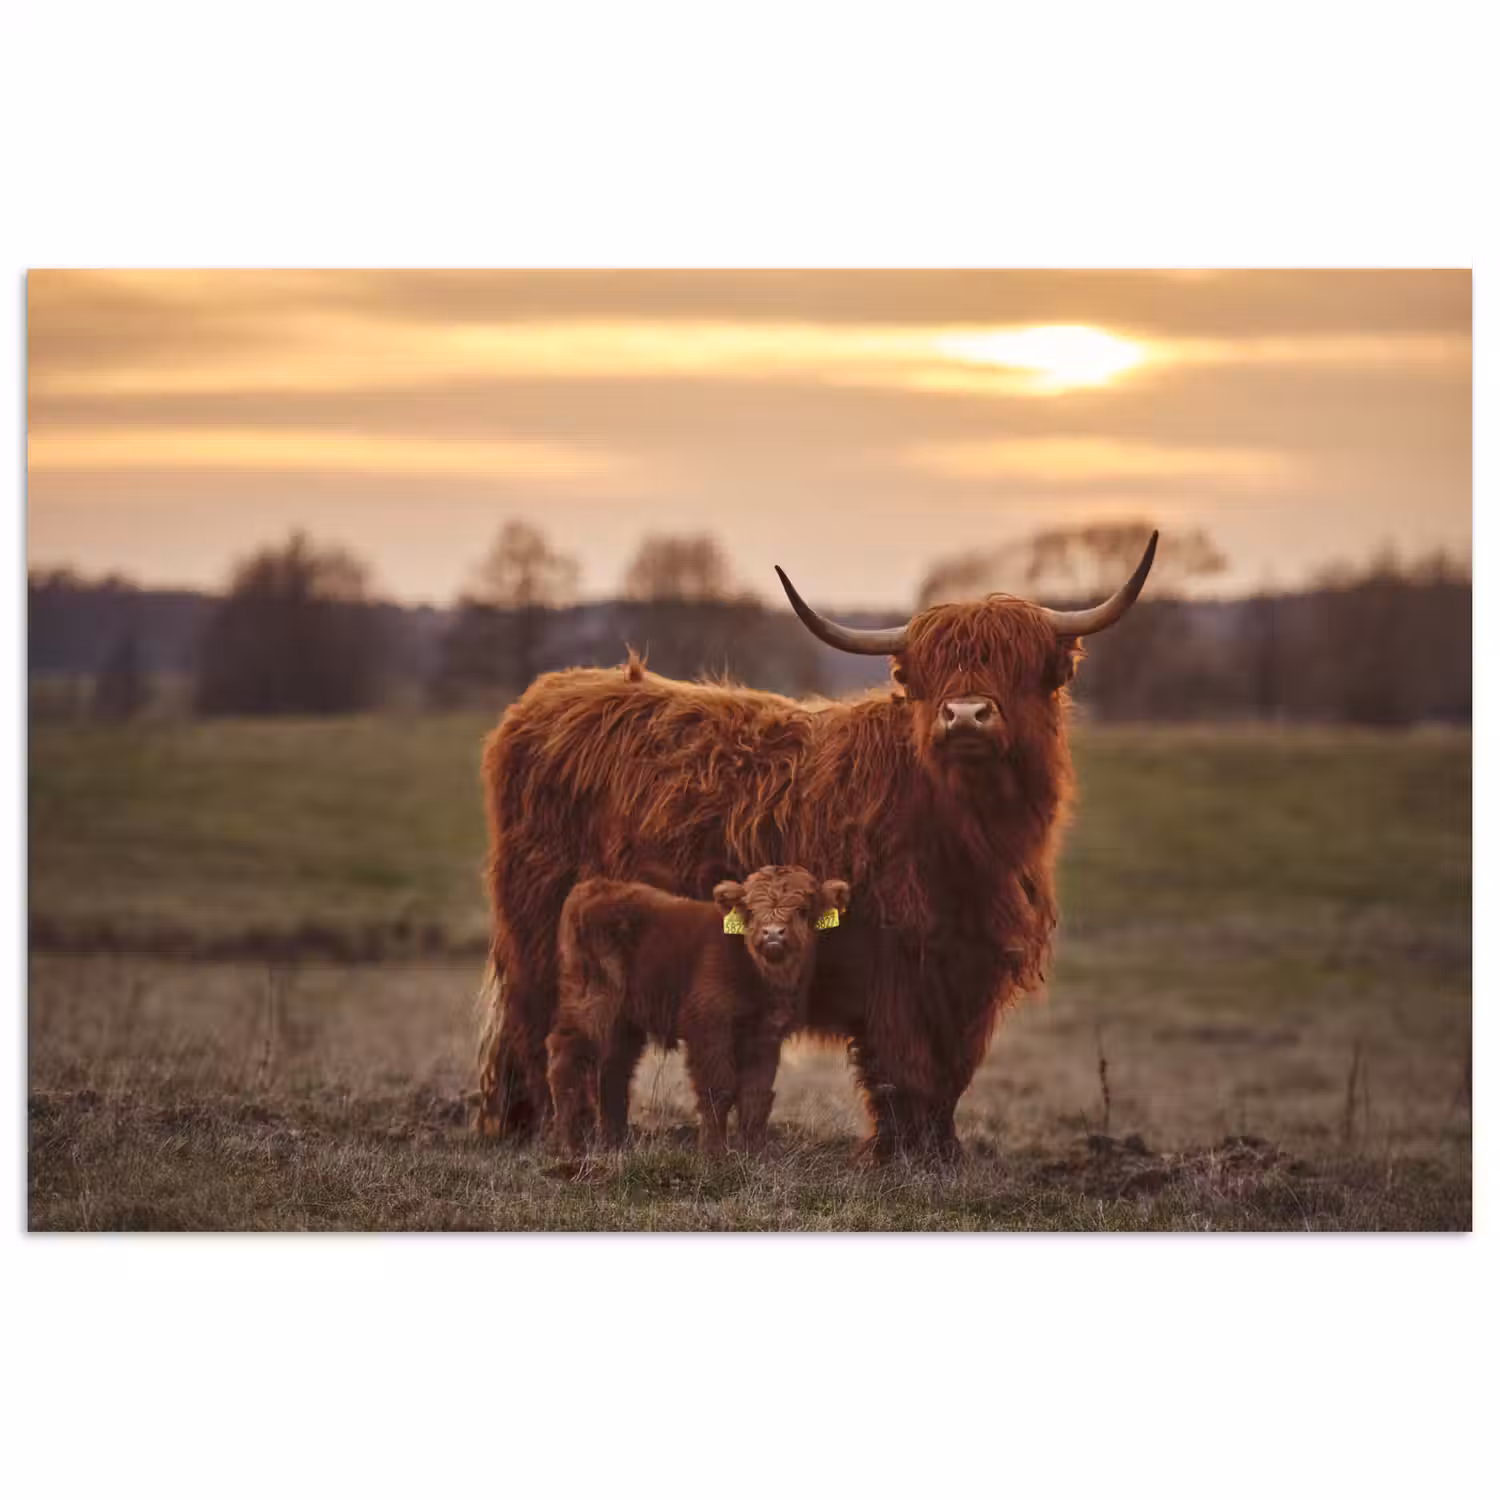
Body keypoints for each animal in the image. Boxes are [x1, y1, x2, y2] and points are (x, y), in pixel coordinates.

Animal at [547, 865, 851, 1154]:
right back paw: (569, 1146)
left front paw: (755, 1153)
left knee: (614, 1070)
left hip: (623, 1020)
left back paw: (614, 1144)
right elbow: (719, 1089)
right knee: (568, 1058)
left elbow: (756, 1094)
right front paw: (714, 1153)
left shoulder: (766, 1035)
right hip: (591, 1002)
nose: (773, 933)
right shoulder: (709, 1026)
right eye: (752, 911)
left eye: (802, 909)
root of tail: (594, 887)